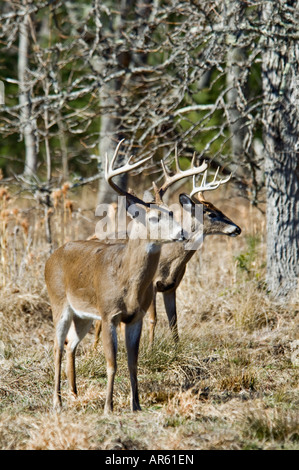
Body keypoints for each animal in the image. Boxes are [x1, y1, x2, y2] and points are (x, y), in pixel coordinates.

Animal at [45, 140, 209, 412]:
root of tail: (51, 257)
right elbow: (112, 363)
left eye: (172, 213)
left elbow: (133, 362)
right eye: (154, 217)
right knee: (57, 346)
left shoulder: (135, 317)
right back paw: (57, 401)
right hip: (59, 303)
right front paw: (108, 407)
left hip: (83, 315)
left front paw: (136, 405)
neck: (126, 282)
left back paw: (74, 393)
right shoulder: (109, 314)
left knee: (70, 344)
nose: (183, 233)